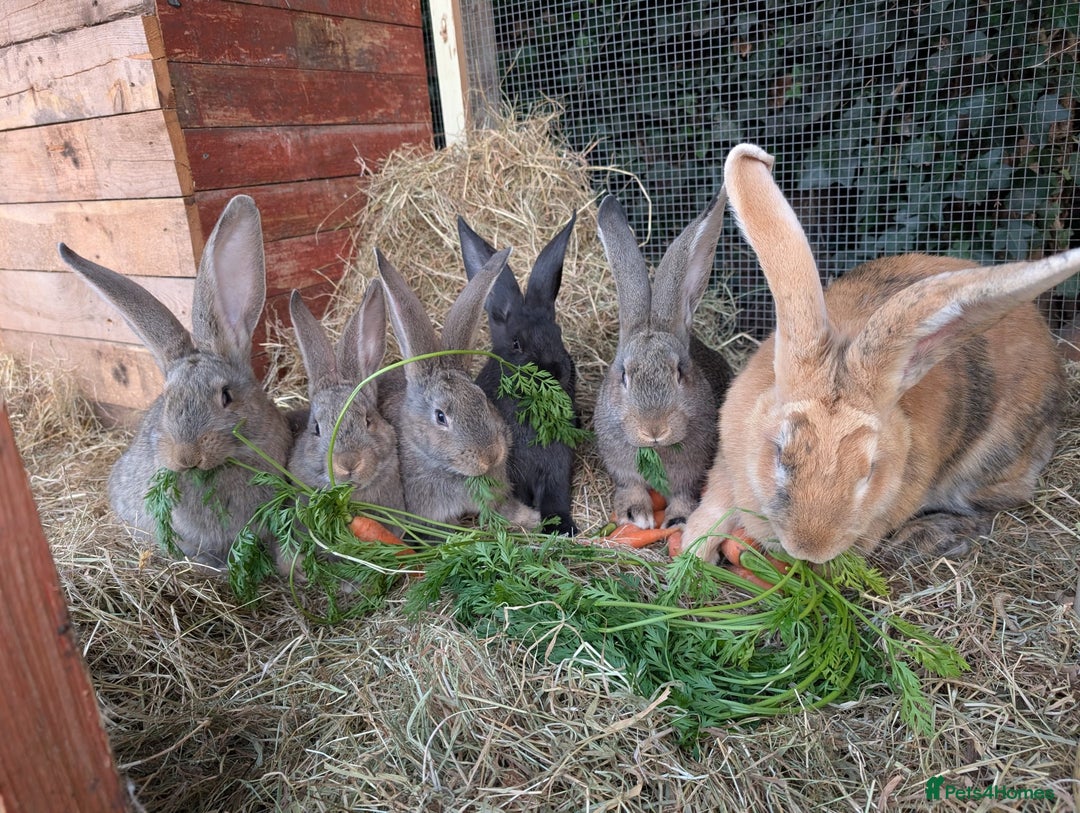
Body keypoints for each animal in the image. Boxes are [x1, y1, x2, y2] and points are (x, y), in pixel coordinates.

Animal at [458, 213, 579, 535]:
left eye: (558, 334)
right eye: (516, 343)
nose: (555, 370)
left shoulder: (557, 470)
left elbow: (555, 498)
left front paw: (563, 527)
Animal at [593, 192, 734, 531]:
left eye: (680, 371)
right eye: (624, 375)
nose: (654, 429)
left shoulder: (692, 472)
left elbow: (684, 493)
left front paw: (677, 520)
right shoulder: (620, 467)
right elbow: (630, 485)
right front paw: (635, 515)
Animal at [680, 143, 1080, 566]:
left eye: (869, 470)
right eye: (780, 454)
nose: (810, 548)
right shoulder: (727, 464)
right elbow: (714, 506)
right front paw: (692, 553)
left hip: (991, 462)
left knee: (993, 507)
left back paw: (924, 538)